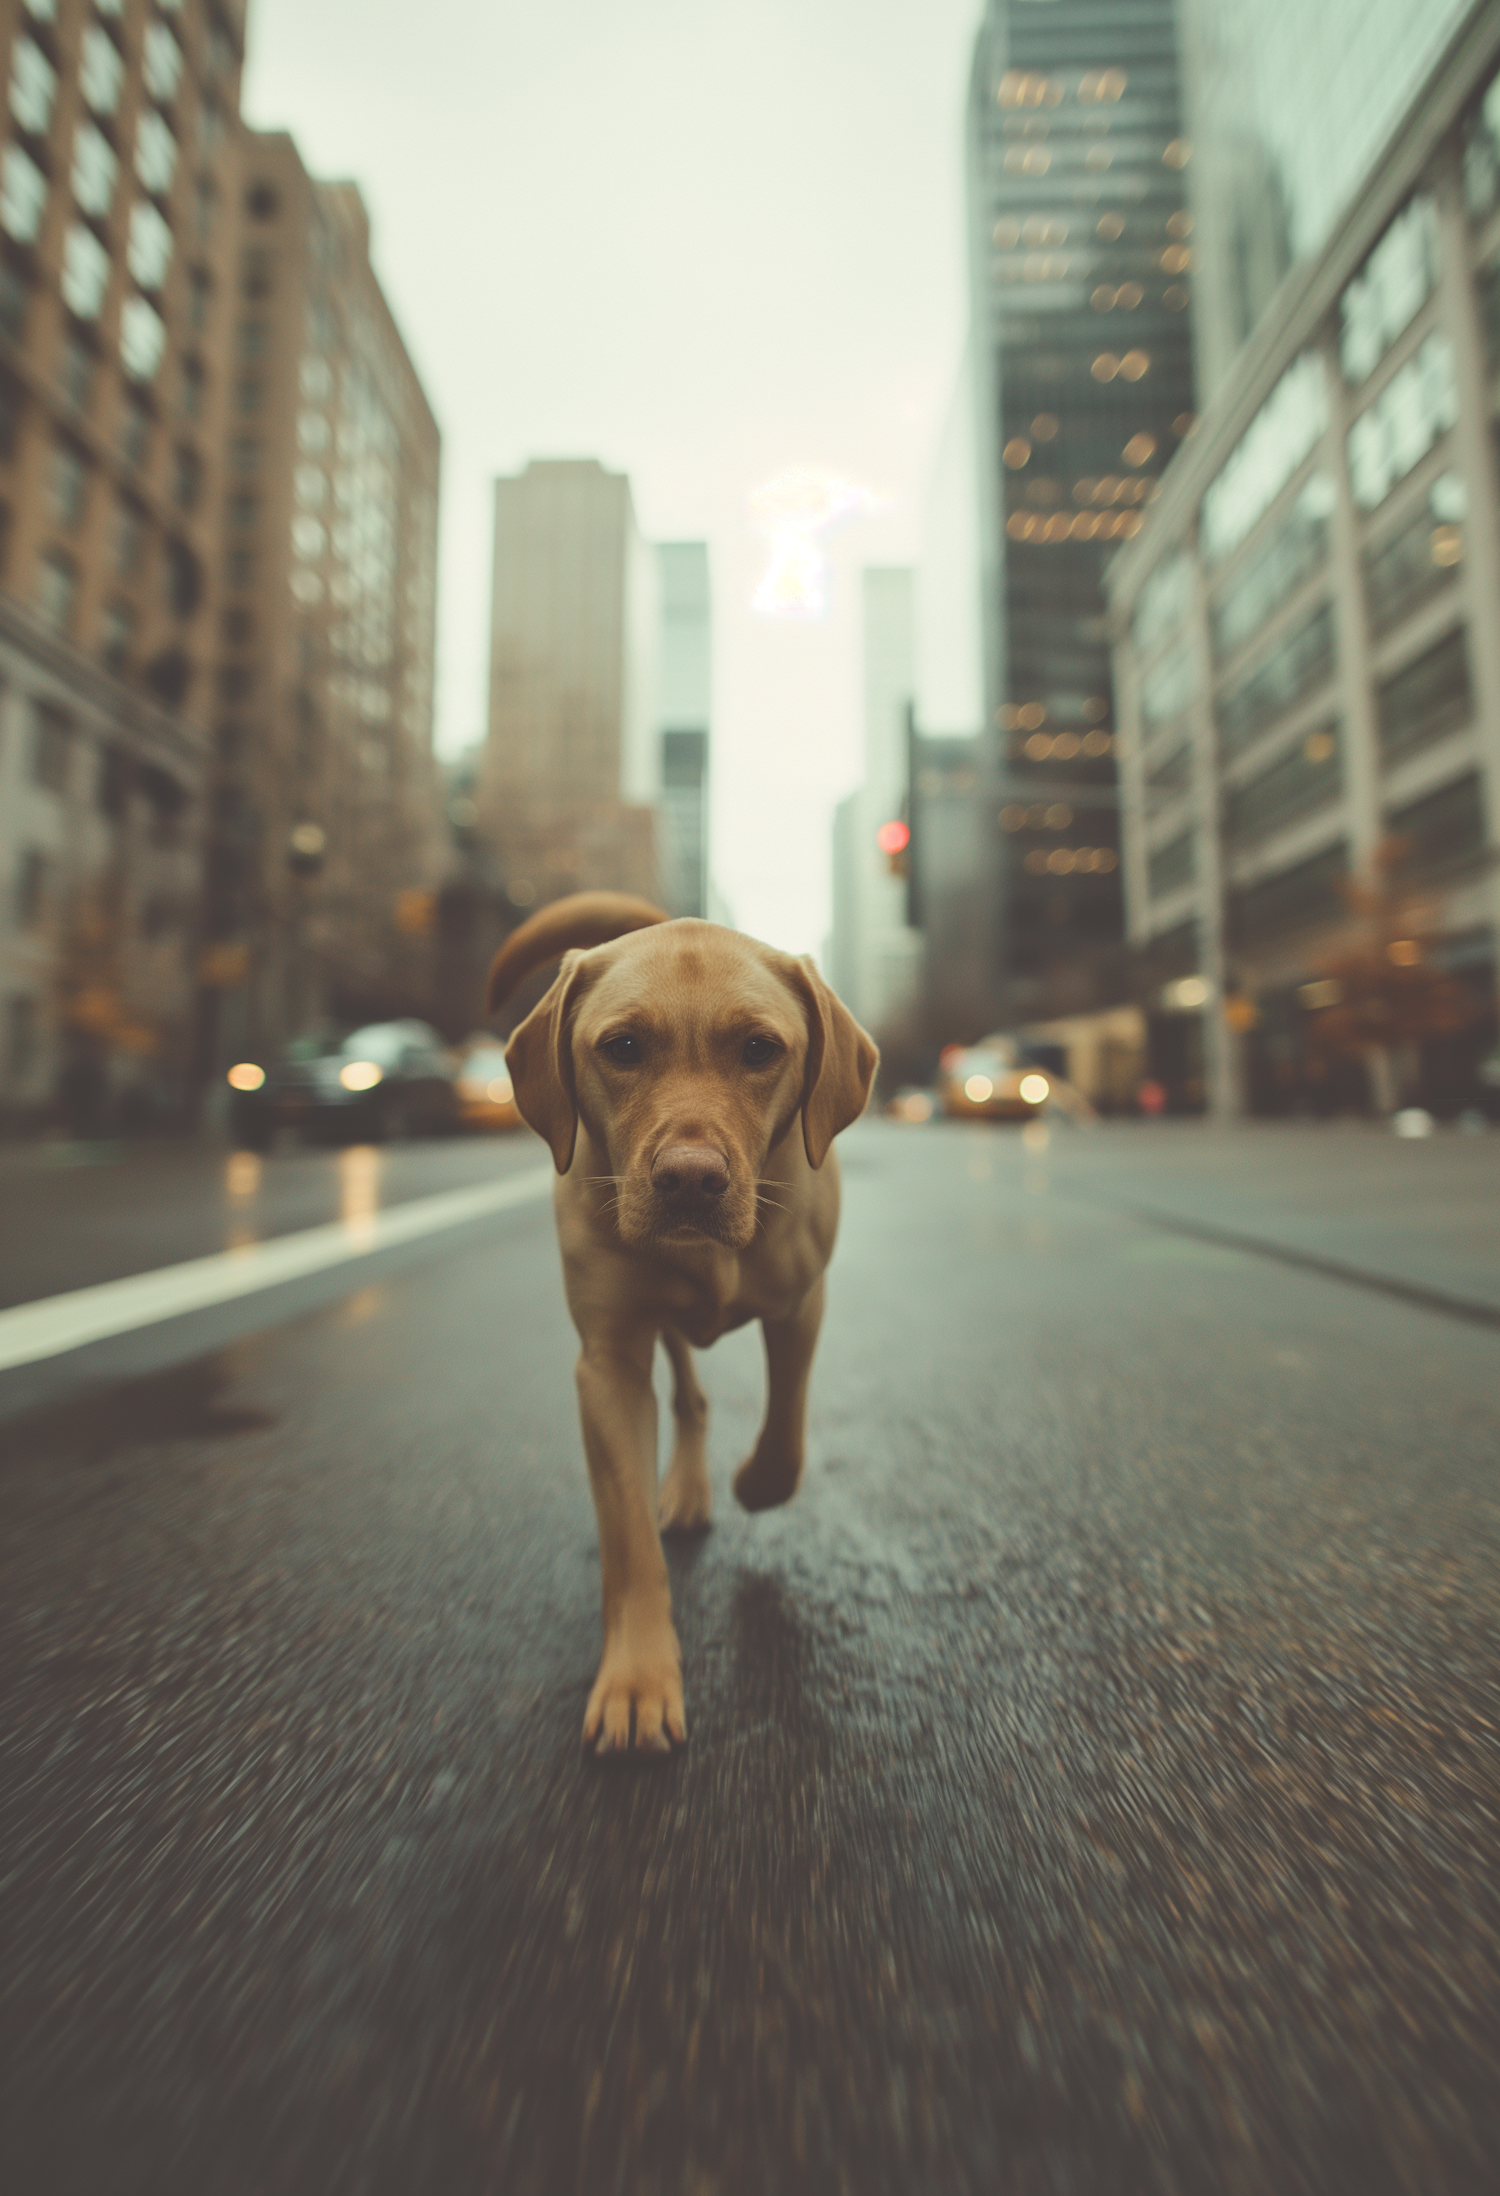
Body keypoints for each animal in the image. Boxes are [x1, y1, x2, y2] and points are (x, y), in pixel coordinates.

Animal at [480, 882, 878, 1756]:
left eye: (760, 1049)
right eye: (622, 1047)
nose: (691, 1181)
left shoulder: (802, 1303)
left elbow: (787, 1434)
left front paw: (755, 1483)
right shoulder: (608, 1362)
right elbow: (630, 1540)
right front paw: (637, 1680)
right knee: (688, 1394)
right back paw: (687, 1489)